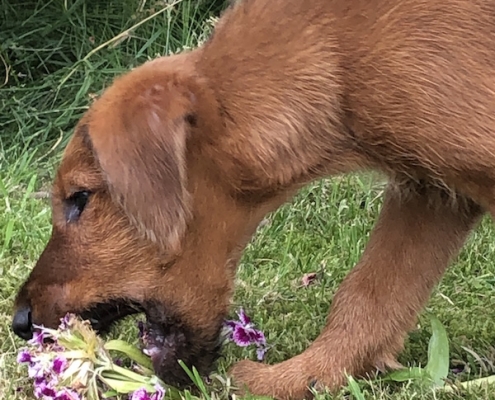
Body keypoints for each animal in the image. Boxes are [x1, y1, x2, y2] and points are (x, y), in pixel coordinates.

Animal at [11, 0, 495, 398]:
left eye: (80, 198)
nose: (19, 323)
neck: (337, 54)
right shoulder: (431, 192)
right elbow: (372, 295)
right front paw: (301, 378)